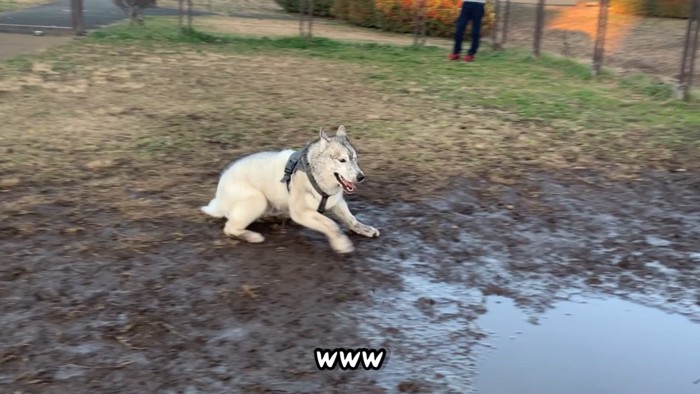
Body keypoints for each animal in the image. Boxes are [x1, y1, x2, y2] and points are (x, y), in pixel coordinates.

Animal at [200, 126, 380, 255]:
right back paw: (252, 236)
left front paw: (364, 229)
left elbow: (351, 219)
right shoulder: (301, 212)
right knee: (229, 228)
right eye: (342, 160)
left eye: (355, 159)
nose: (361, 177)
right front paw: (341, 243)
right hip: (258, 199)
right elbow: (332, 225)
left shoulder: (337, 202)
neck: (314, 173)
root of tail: (218, 198)